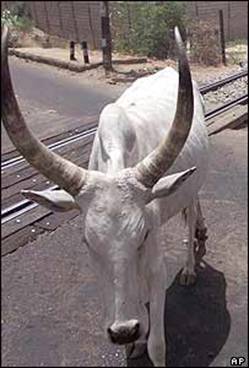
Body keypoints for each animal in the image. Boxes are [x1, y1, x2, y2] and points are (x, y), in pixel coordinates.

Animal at [1, 25, 208, 366]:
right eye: (88, 242)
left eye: (143, 235)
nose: (123, 331)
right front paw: (133, 341)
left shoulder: (155, 263)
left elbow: (158, 344)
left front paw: (145, 340)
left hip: (192, 185)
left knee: (190, 210)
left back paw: (192, 263)